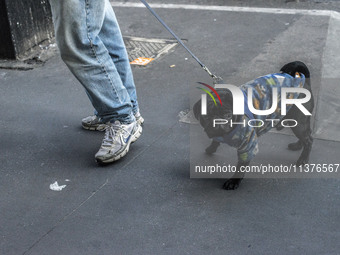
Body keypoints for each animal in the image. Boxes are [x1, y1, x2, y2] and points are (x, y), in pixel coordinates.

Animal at [193, 61, 314, 189]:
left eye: (228, 115)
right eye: (206, 117)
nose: (217, 122)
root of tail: (303, 80)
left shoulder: (247, 145)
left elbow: (241, 165)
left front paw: (234, 181)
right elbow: (215, 140)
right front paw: (211, 148)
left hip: (298, 123)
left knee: (309, 140)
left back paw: (303, 159)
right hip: (298, 122)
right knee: (307, 134)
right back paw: (298, 146)